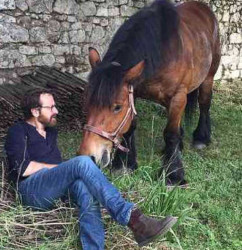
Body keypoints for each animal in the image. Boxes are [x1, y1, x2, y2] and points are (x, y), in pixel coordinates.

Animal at [78, 0, 220, 186]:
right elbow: (131, 127)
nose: (89, 156)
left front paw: (173, 175)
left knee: (204, 104)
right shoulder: (135, 92)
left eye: (117, 107)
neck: (163, 51)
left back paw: (201, 138)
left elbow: (170, 134)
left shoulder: (178, 96)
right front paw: (124, 164)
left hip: (208, 77)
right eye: (87, 102)